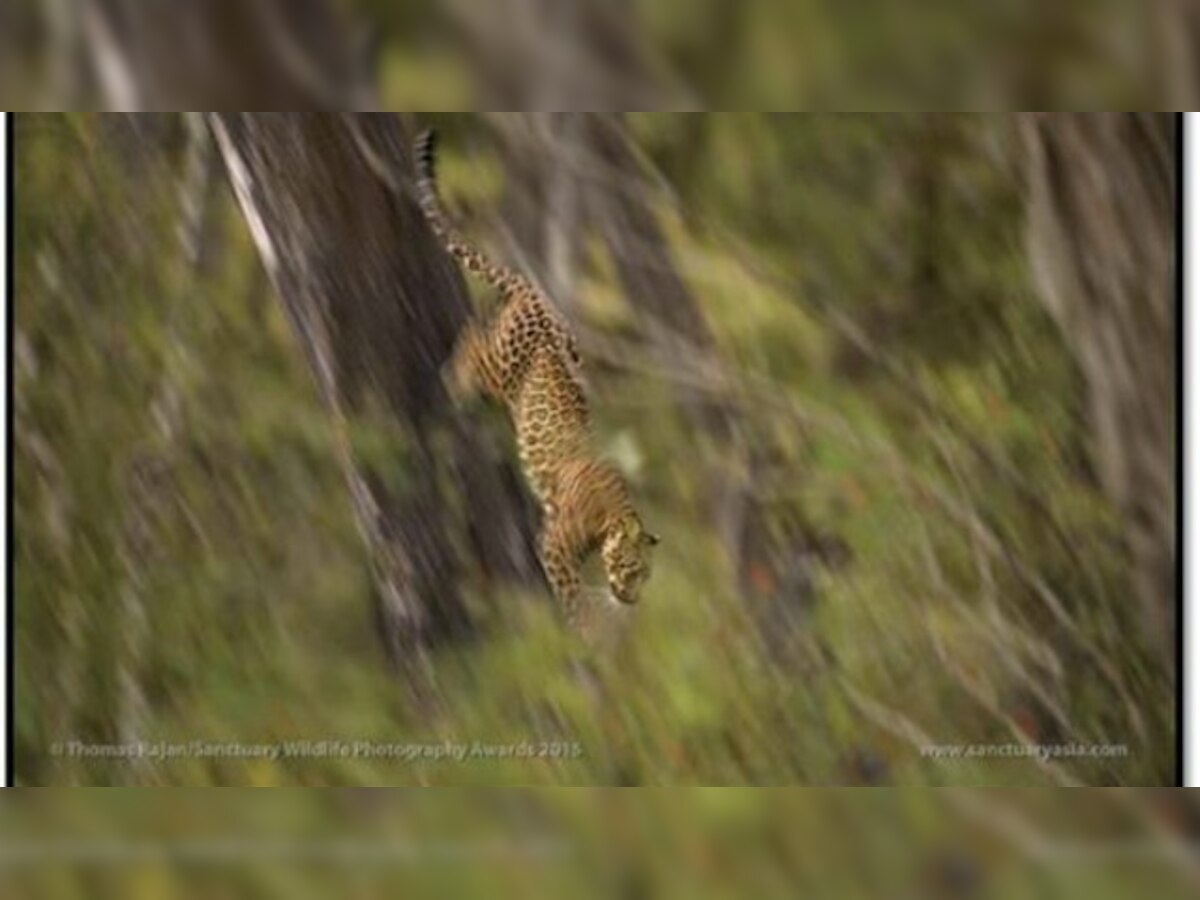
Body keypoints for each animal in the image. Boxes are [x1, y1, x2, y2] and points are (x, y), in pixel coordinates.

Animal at [412, 132, 657, 628]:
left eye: (645, 576)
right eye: (632, 569)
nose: (633, 599)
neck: (609, 519)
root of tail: (536, 293)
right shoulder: (554, 545)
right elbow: (573, 595)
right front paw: (587, 630)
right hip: (501, 365)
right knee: (471, 339)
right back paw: (453, 380)